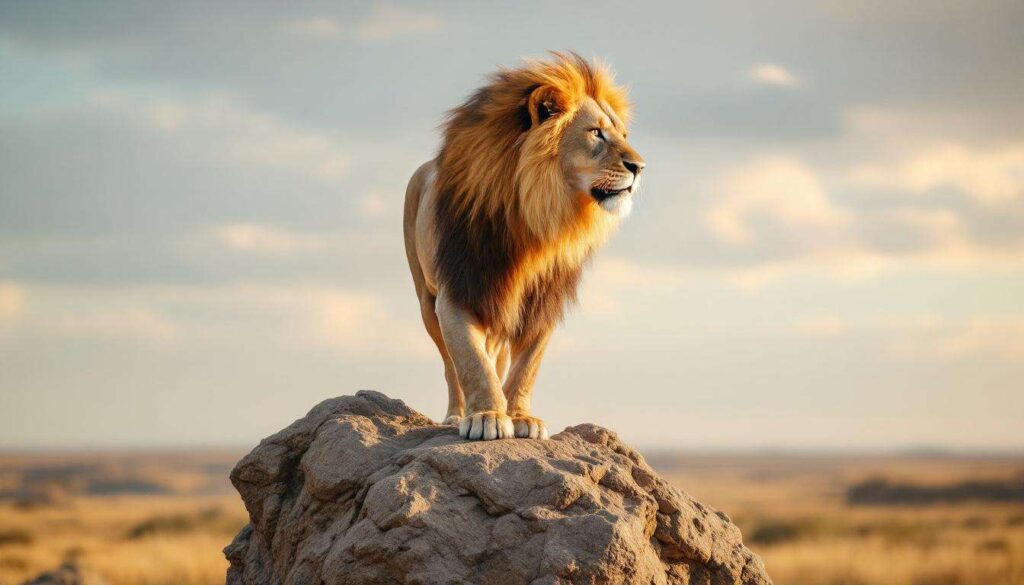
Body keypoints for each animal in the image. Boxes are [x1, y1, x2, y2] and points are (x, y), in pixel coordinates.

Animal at [403, 52, 645, 441]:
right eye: (596, 133)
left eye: (623, 135)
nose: (639, 166)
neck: (535, 219)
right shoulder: (459, 288)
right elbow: (470, 362)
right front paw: (487, 416)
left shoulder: (542, 300)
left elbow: (526, 367)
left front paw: (520, 417)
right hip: (426, 299)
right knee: (450, 365)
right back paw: (456, 415)